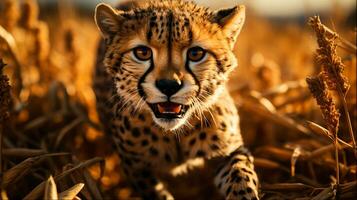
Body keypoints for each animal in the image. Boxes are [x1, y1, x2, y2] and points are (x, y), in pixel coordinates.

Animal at [93, 0, 258, 199]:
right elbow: (157, 193)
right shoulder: (135, 167)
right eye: (142, 52)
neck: (174, 133)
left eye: (196, 53)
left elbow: (241, 176)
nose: (169, 86)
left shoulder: (229, 150)